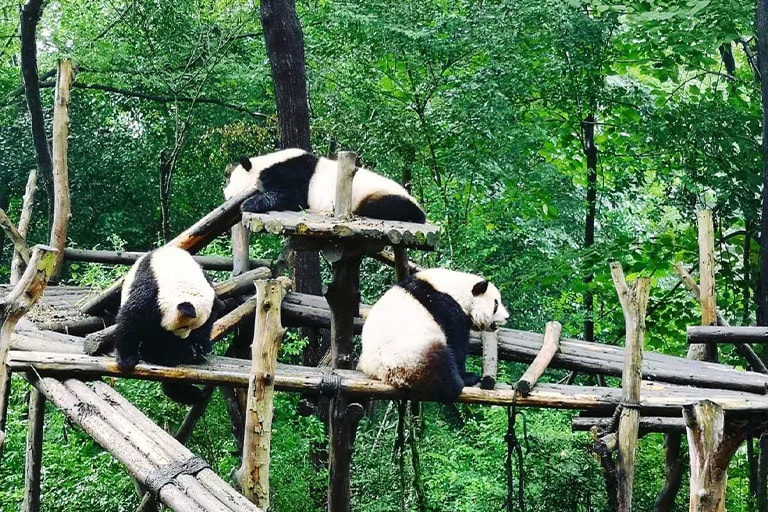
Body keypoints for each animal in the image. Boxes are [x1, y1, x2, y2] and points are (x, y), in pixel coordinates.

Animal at [114, 246, 225, 405]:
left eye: (194, 329)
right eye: (183, 327)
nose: (183, 338)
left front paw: (200, 346)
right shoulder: (150, 290)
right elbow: (132, 319)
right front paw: (126, 360)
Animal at [223, 148, 427, 223]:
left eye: (231, 182)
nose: (225, 194)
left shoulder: (292, 173)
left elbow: (290, 197)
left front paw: (248, 204)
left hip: (380, 196)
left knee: (385, 206)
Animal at [357, 268, 509, 402]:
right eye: (496, 304)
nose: (507, 317)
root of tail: (384, 375)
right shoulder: (445, 306)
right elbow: (455, 342)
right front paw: (467, 375)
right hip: (410, 356)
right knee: (439, 364)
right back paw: (459, 382)